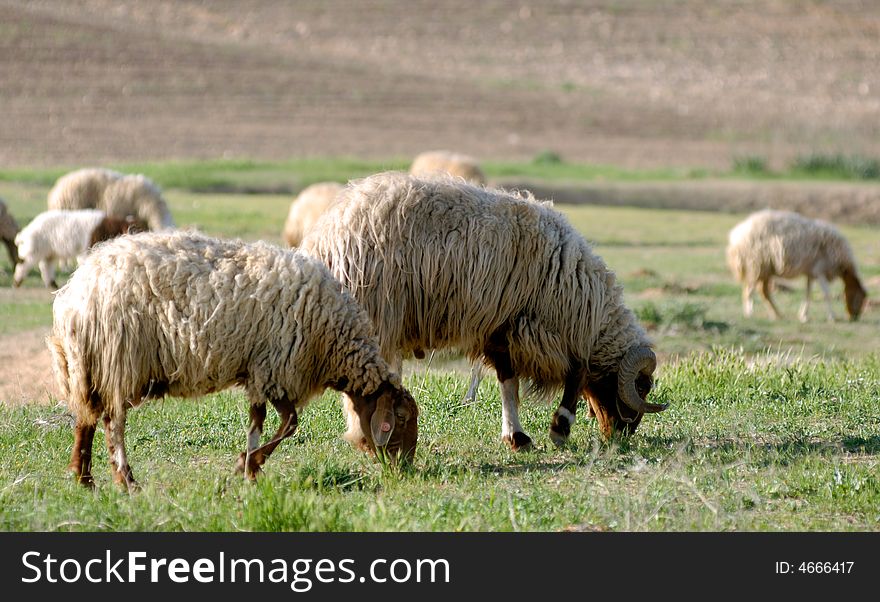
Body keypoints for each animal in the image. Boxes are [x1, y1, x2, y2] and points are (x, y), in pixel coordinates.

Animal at [14, 209, 144, 288]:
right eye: (135, 229)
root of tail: (24, 234)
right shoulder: (87, 250)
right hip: (32, 250)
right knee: (23, 264)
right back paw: (17, 283)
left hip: (49, 252)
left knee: (46, 266)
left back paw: (53, 284)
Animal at [48, 229, 420, 488]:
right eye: (401, 419)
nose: (405, 469)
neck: (334, 344)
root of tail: (75, 293)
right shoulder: (277, 368)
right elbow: (290, 423)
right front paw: (248, 463)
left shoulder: (259, 372)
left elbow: (259, 422)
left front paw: (251, 469)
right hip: (118, 358)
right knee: (113, 423)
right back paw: (126, 481)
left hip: (89, 365)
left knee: (86, 418)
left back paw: (84, 479)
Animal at [302, 171, 668, 448]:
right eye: (640, 389)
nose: (620, 436)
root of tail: (325, 238)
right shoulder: (545, 326)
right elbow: (575, 374)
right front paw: (559, 428)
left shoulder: (502, 328)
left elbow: (509, 383)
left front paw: (516, 436)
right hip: (377, 313)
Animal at [724, 209, 868, 322]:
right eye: (858, 299)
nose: (854, 318)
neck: (843, 265)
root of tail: (736, 235)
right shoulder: (820, 271)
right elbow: (826, 294)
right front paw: (832, 317)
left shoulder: (811, 273)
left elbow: (808, 294)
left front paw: (803, 315)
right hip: (756, 264)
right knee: (749, 290)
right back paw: (749, 313)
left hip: (766, 268)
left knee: (763, 292)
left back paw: (777, 315)